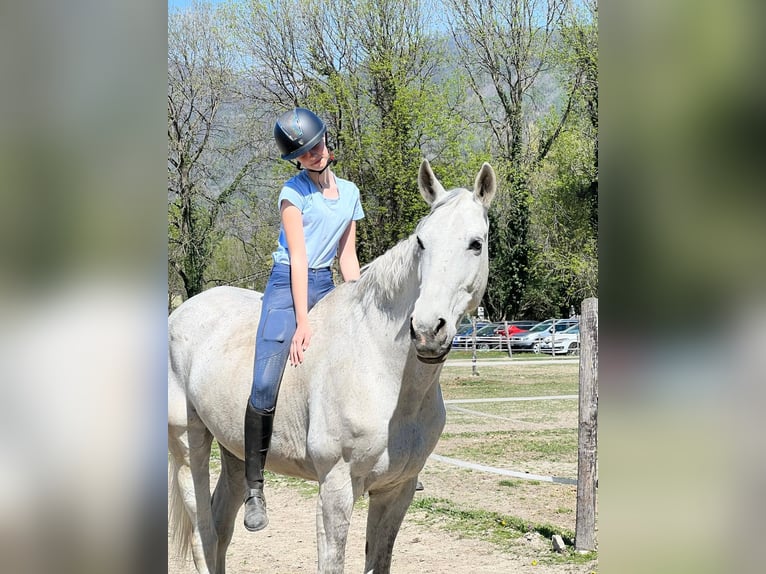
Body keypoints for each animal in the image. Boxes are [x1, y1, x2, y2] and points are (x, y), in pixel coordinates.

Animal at [168, 161, 498, 574]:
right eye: (422, 242)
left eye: (476, 244)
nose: (426, 330)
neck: (381, 368)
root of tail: (181, 311)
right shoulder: (336, 487)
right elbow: (332, 562)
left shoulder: (397, 491)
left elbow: (379, 560)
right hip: (187, 445)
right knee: (204, 533)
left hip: (233, 450)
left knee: (220, 528)